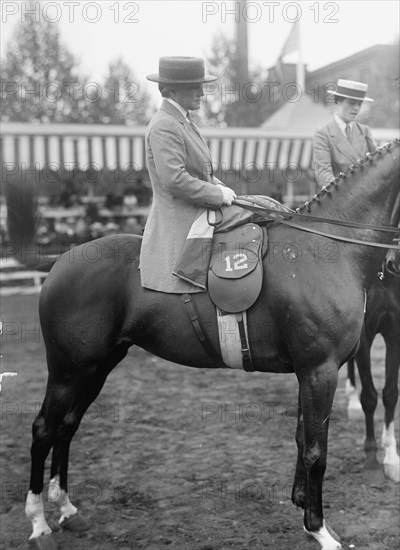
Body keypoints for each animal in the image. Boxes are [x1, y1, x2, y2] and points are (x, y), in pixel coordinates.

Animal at [4, 141, 398, 550]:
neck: (323, 249)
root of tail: (62, 259)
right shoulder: (320, 371)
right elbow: (317, 451)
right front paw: (319, 529)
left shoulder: (309, 373)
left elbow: (302, 440)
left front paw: (304, 510)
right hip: (68, 371)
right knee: (43, 429)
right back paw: (39, 523)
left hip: (96, 368)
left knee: (67, 426)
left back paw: (67, 509)